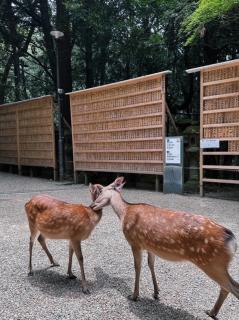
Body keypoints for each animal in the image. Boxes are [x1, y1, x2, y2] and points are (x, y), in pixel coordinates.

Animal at [90, 176, 238, 318]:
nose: (91, 205)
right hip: (218, 264)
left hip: (212, 263)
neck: (124, 212)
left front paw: (134, 295)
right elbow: (151, 264)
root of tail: (231, 239)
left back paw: (212, 311)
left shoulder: (134, 242)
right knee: (227, 287)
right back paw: (212, 312)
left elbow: (137, 267)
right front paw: (156, 292)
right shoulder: (150, 246)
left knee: (232, 287)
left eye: (100, 191)